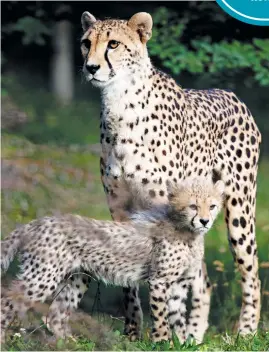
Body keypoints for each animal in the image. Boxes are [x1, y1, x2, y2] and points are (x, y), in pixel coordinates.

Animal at [78, 12, 260, 340]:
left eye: (113, 44)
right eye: (87, 43)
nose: (91, 67)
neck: (119, 102)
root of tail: (230, 94)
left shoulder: (164, 210)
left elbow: (170, 283)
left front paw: (165, 336)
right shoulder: (120, 211)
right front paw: (134, 333)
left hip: (239, 210)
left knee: (250, 272)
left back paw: (246, 332)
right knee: (204, 280)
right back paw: (194, 336)